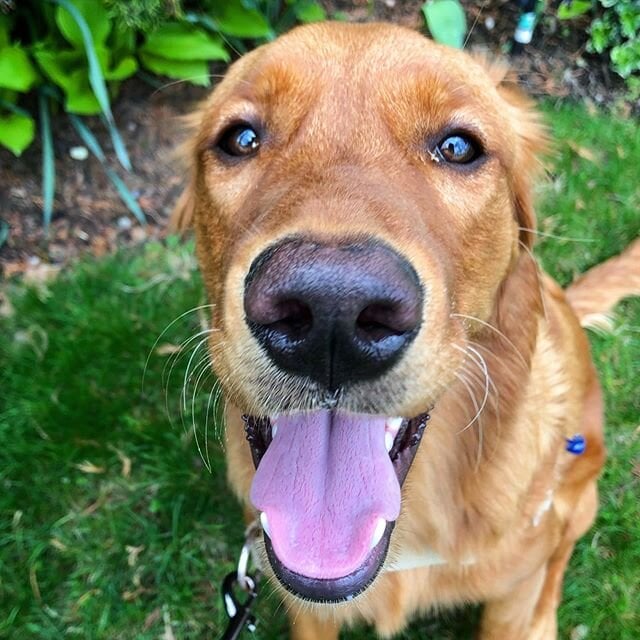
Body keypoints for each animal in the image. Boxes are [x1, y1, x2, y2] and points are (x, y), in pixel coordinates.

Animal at [171, 21, 640, 640]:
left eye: (459, 147)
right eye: (240, 139)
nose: (332, 310)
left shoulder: (513, 586)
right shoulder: (306, 607)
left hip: (577, 498)